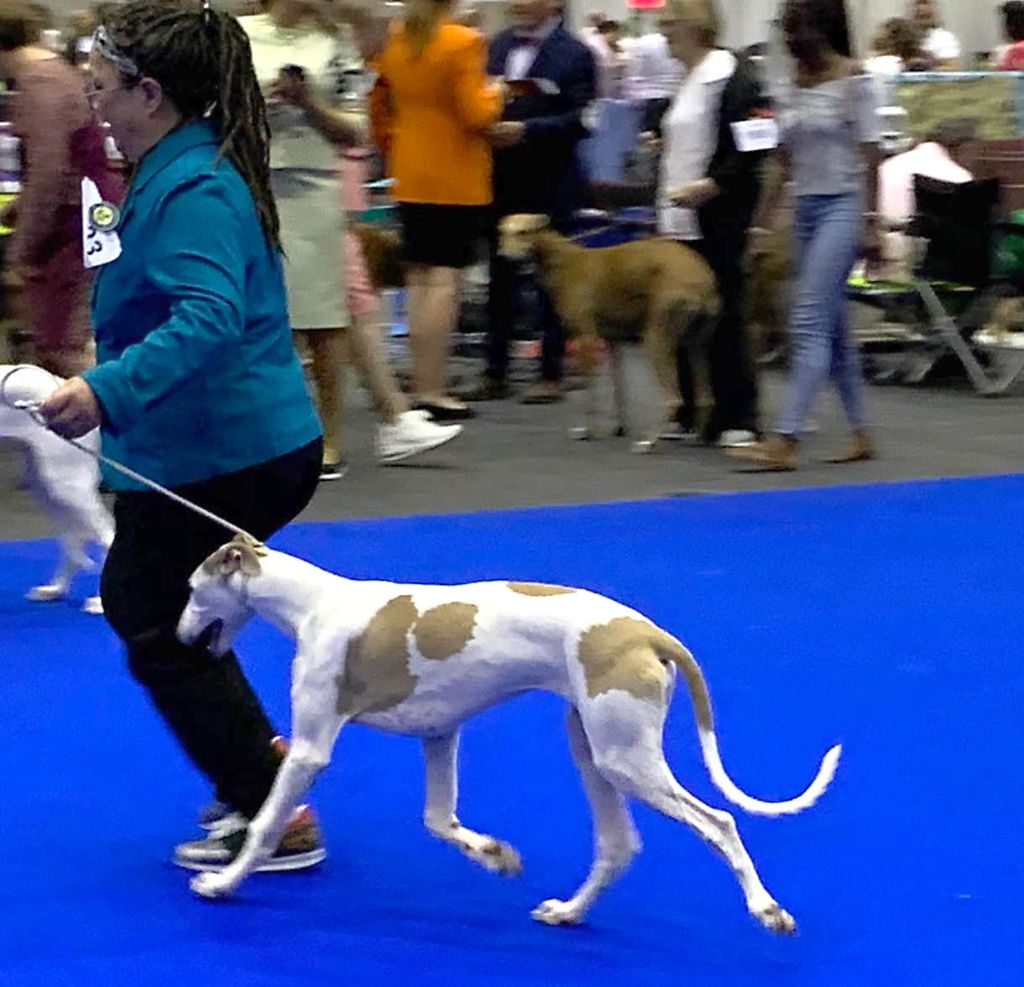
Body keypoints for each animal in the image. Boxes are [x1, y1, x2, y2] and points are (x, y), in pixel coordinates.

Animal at [0, 366, 114, 614]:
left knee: (106, 537)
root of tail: (61, 383)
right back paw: (55, 590)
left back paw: (100, 603)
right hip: (45, 485)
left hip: (66, 485)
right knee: (72, 542)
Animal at [180, 536, 843, 929]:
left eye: (190, 590)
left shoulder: (310, 751)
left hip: (627, 760)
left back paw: (766, 909)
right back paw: (568, 911)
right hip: (594, 750)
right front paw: (495, 855)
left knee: (719, 821)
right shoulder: (439, 734)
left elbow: (266, 823)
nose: (178, 636)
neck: (312, 603)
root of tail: (649, 633)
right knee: (618, 844)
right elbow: (439, 821)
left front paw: (222, 883)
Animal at [499, 213, 716, 452]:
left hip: (656, 339)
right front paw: (619, 428)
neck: (563, 260)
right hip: (697, 345)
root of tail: (702, 280)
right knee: (706, 398)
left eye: (523, 232)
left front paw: (587, 431)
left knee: (674, 398)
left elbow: (591, 394)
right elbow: (619, 390)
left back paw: (648, 441)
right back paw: (697, 438)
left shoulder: (587, 337)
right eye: (502, 231)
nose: (506, 257)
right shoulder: (613, 342)